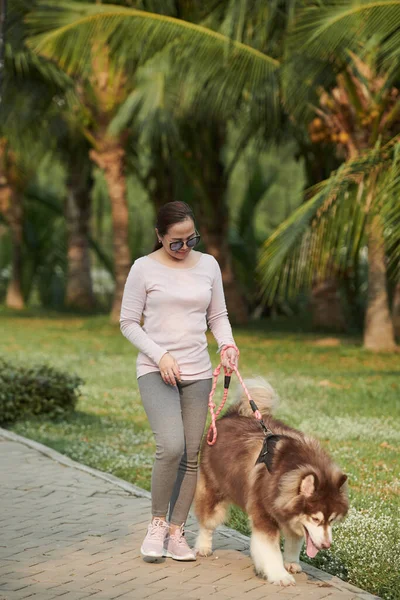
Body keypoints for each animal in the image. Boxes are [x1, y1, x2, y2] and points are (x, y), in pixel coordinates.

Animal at [195, 380, 348, 584]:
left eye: (331, 520)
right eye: (316, 519)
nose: (325, 545)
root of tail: (231, 415)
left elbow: (294, 541)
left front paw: (291, 562)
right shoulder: (264, 514)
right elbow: (271, 551)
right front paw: (279, 574)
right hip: (214, 489)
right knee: (208, 521)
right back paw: (203, 546)